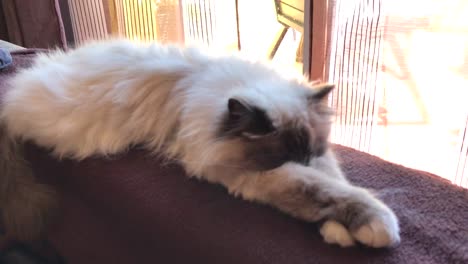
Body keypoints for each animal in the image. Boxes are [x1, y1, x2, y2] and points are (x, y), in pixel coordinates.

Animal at [0, 39, 400, 248]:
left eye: (308, 152)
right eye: (283, 155)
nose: (303, 160)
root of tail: (13, 94)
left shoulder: (320, 160)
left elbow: (337, 184)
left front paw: (336, 232)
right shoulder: (255, 175)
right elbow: (322, 192)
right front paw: (375, 229)